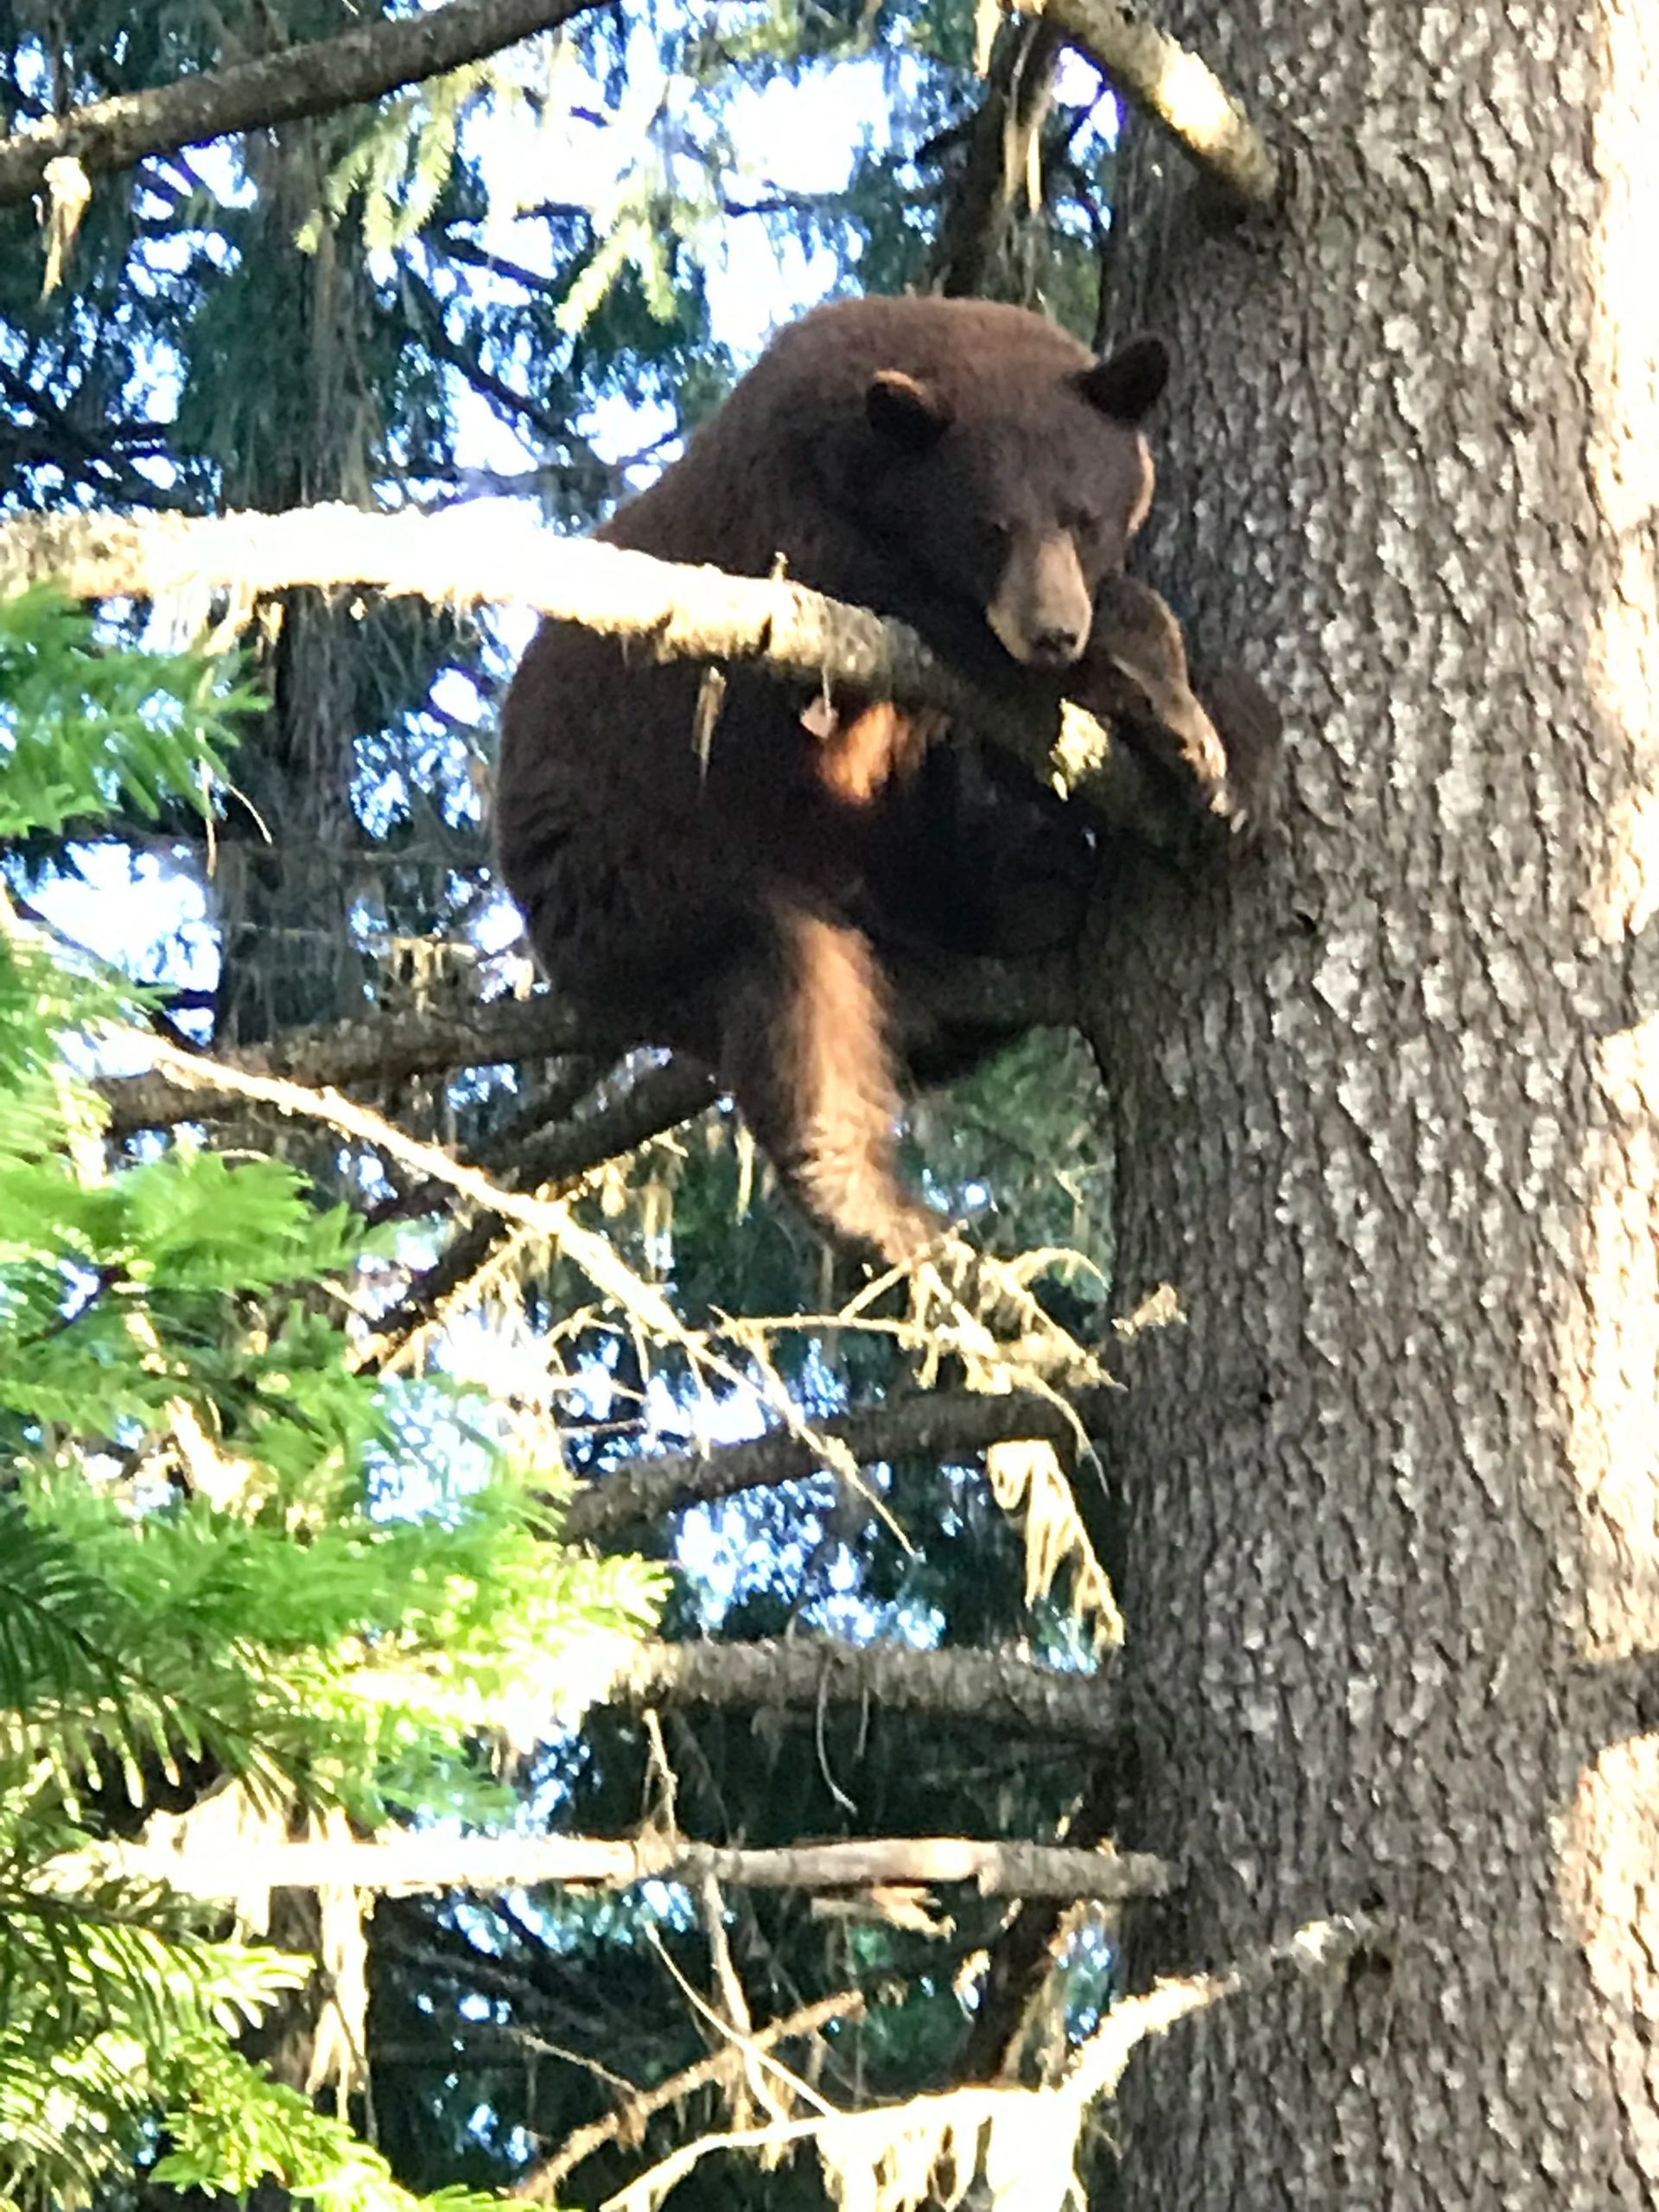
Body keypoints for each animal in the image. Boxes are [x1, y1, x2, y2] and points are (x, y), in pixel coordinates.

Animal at [496, 294, 1276, 1265]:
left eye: (1082, 515)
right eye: (990, 527)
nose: (1053, 630)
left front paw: (1227, 752)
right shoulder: (814, 551)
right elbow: (963, 636)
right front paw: (1159, 695)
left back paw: (1036, 878)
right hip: (652, 872)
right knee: (790, 990)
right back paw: (880, 1207)